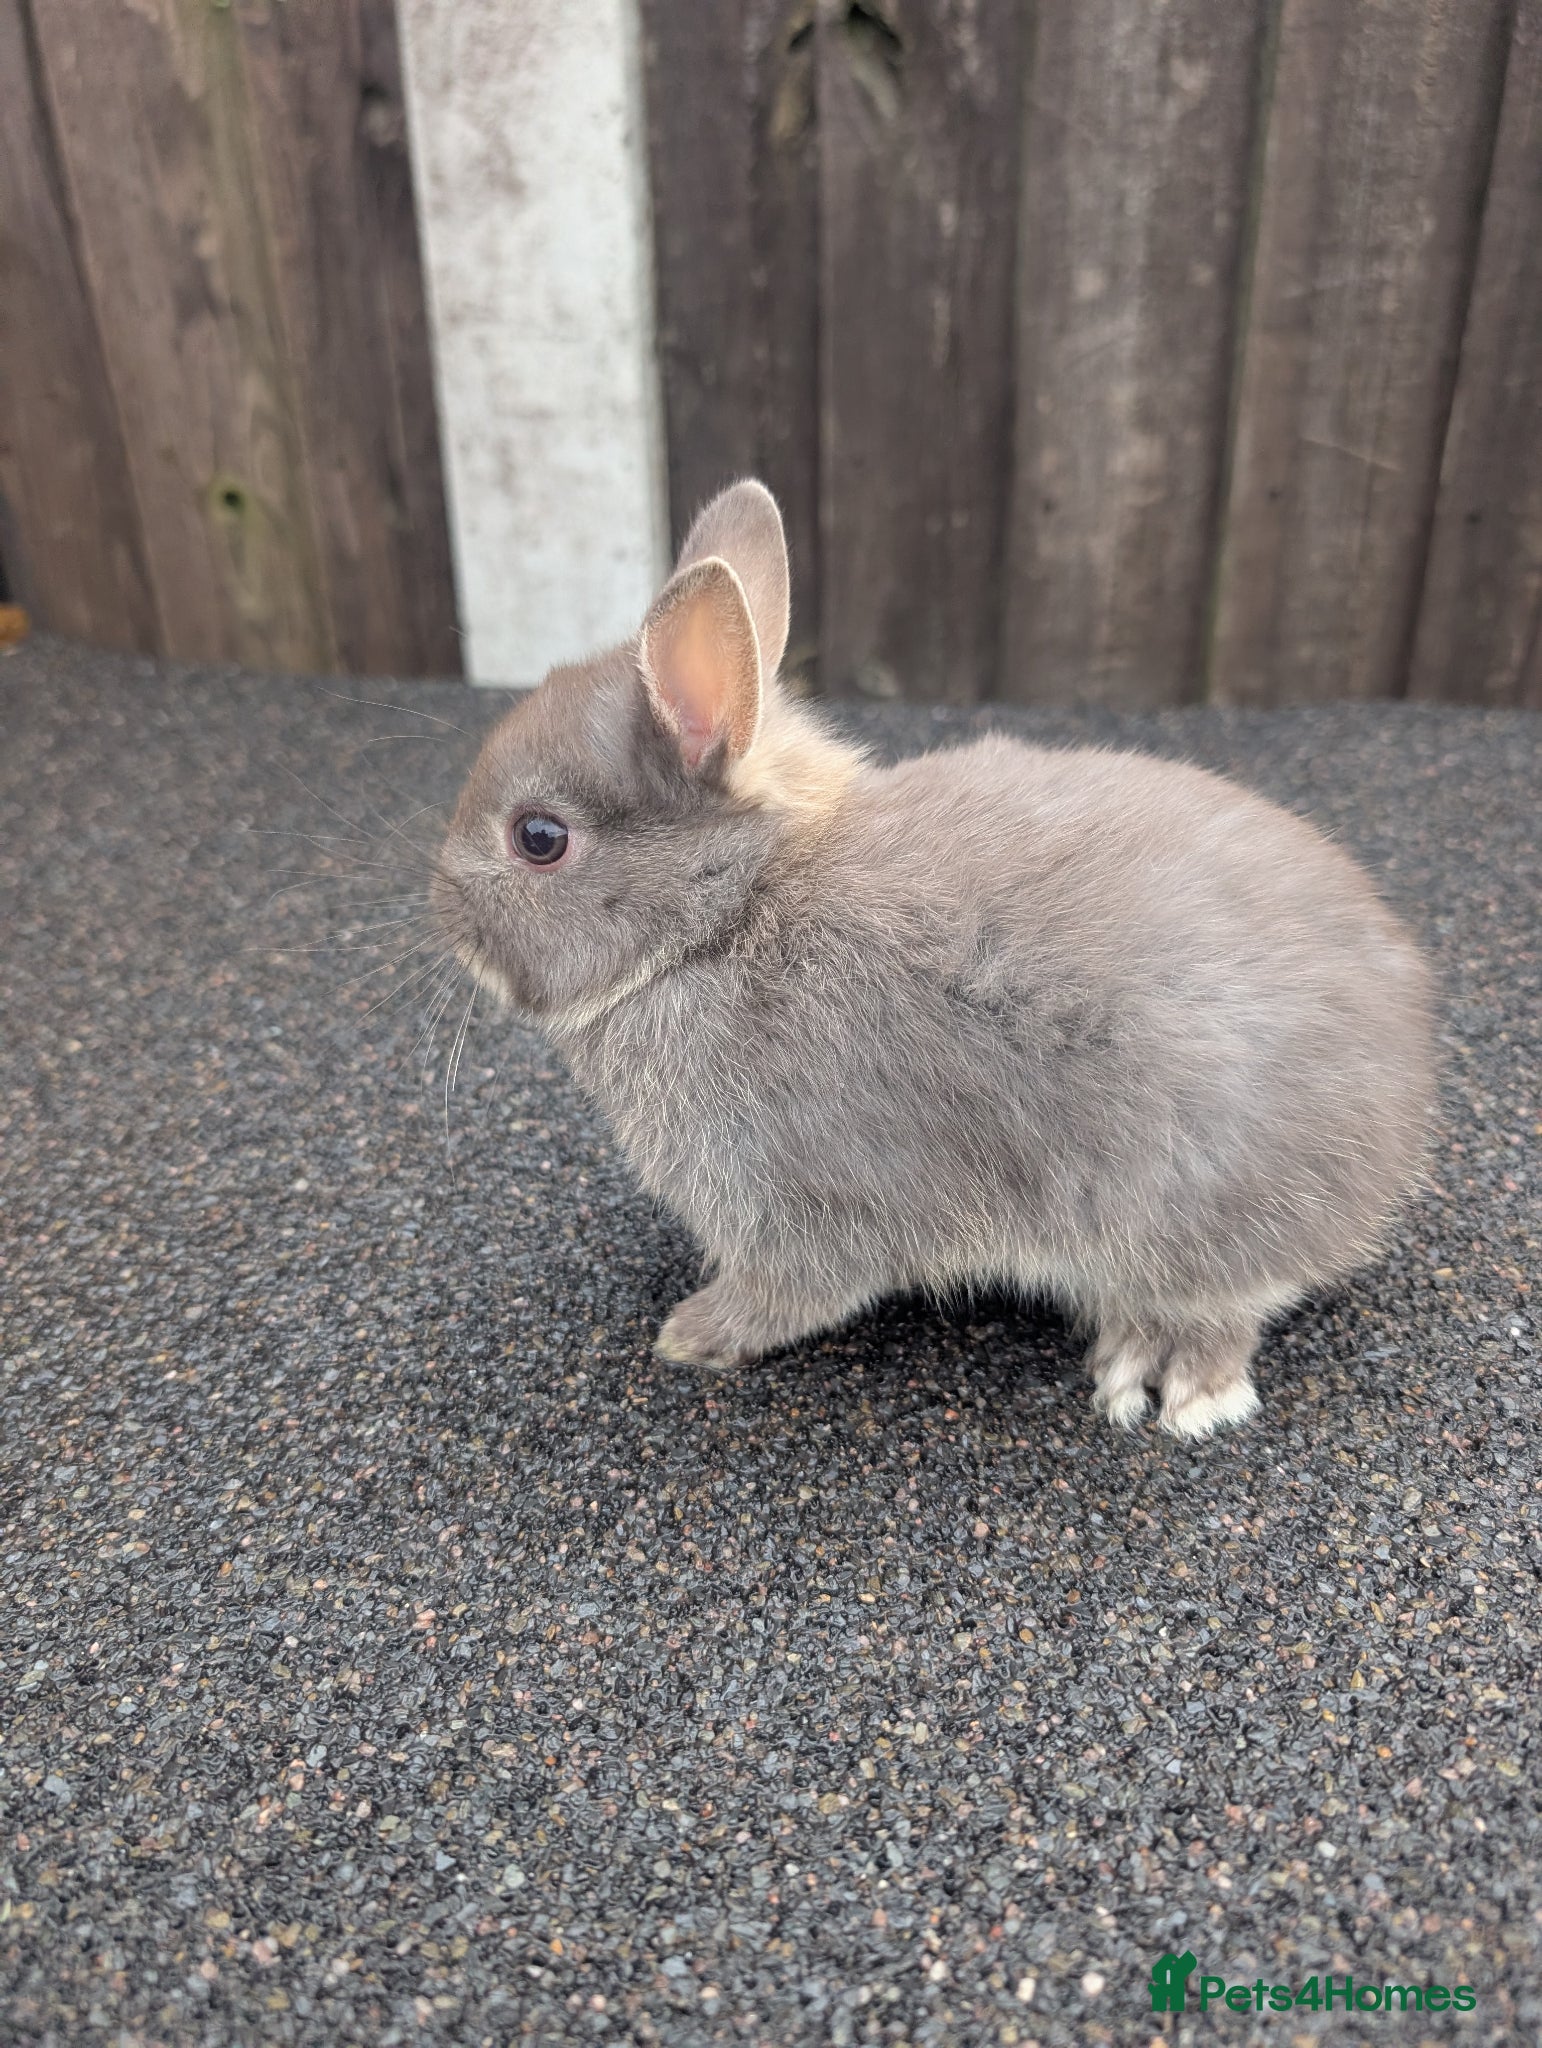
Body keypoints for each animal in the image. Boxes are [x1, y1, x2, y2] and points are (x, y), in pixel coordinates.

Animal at [435, 479, 1435, 1438]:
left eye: (538, 839)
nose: (447, 914)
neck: (728, 916)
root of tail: (1400, 1121)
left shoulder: (792, 1199)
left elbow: (792, 1292)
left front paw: (692, 1334)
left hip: (1189, 1209)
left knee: (1226, 1303)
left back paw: (1168, 1380)